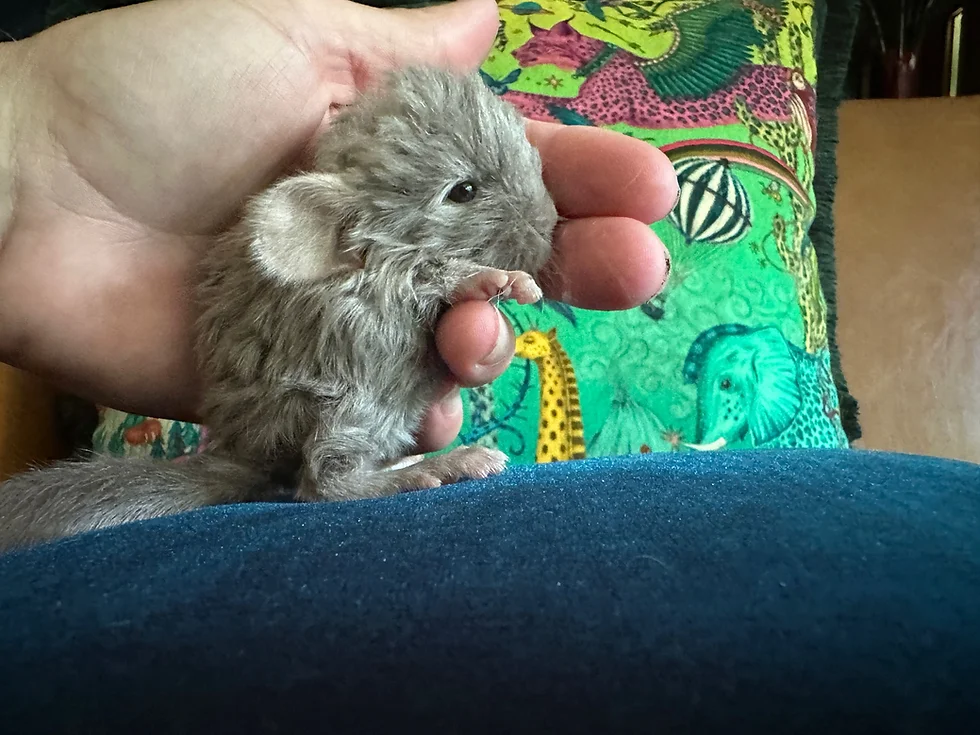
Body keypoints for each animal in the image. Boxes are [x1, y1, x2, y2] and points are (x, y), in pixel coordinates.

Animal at [0, 67, 559, 551]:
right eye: (463, 191)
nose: (550, 222)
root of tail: (249, 452)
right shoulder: (386, 287)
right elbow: (437, 275)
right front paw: (505, 282)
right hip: (353, 395)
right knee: (324, 481)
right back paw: (442, 466)